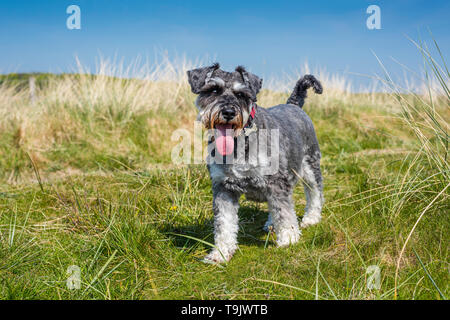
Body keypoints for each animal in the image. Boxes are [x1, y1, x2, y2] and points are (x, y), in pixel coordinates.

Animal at [186, 63, 324, 264]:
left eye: (241, 94)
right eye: (213, 90)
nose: (229, 112)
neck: (240, 143)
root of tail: (293, 104)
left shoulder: (276, 182)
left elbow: (284, 211)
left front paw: (289, 239)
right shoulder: (223, 188)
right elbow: (224, 223)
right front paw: (220, 253)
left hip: (310, 166)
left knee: (314, 192)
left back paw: (312, 218)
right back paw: (271, 224)